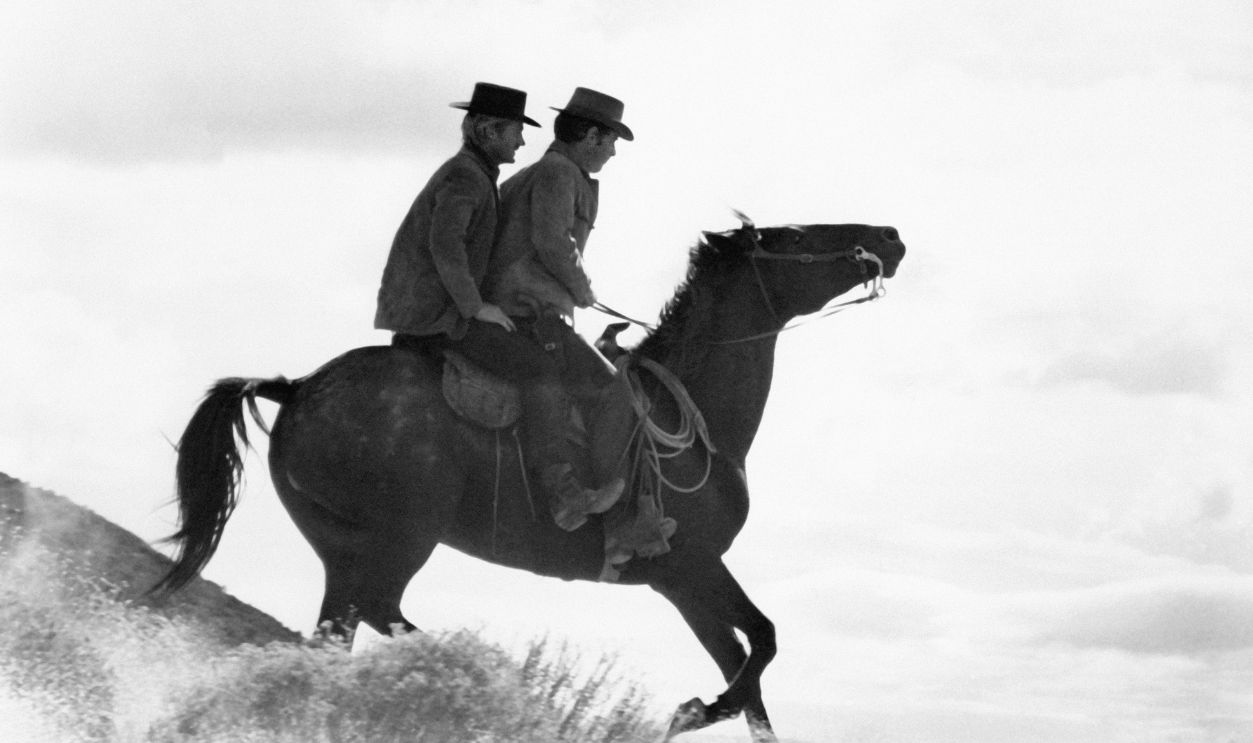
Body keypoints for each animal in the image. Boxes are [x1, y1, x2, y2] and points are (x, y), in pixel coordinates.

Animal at [156, 216, 905, 742]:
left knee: (340, 630)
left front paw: (696, 708)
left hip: (338, 545)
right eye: (798, 235)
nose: (889, 236)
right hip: (402, 538)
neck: (692, 421)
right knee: (379, 609)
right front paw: (690, 709)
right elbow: (762, 647)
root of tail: (298, 386)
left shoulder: (680, 582)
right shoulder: (692, 567)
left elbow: (747, 672)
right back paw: (497, 681)